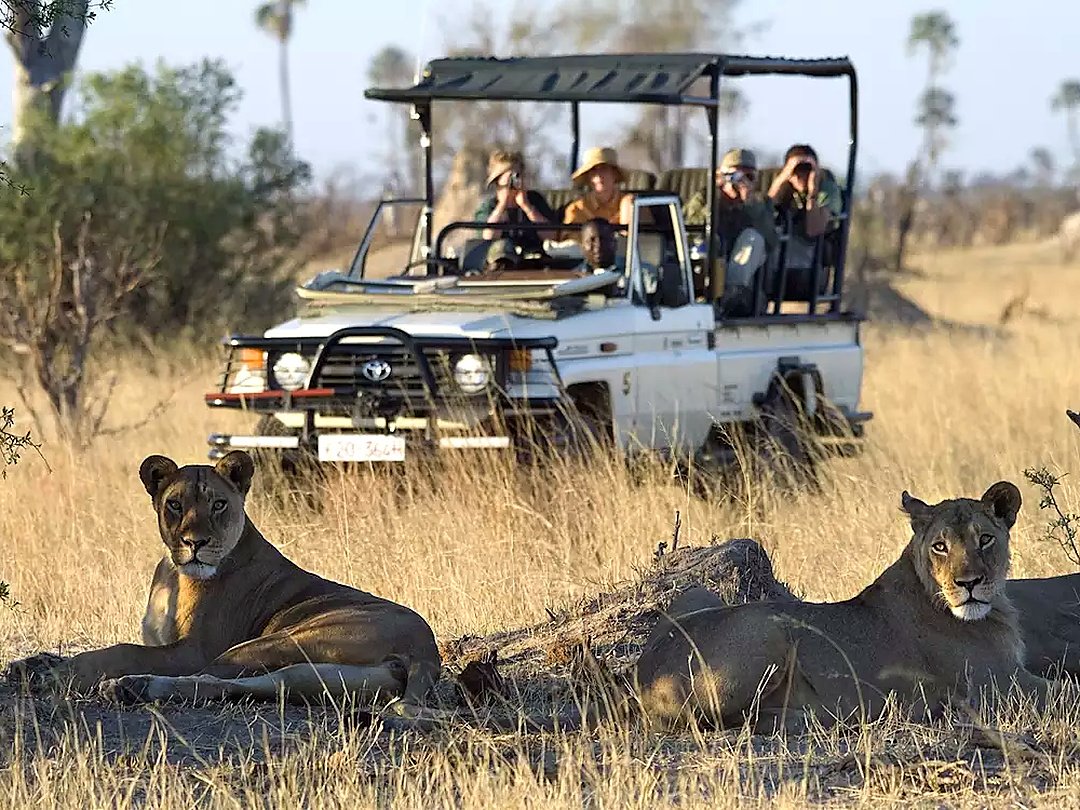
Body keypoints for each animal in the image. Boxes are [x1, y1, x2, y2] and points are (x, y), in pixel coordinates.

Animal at [6, 451, 441, 710]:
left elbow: (120, 650)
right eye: (175, 504)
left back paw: (130, 686)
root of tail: (427, 652)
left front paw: (54, 674)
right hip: (314, 675)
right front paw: (30, 664)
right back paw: (132, 689)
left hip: (275, 640)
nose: (195, 543)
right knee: (242, 685)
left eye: (218, 504)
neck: (173, 571)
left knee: (210, 674)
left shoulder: (190, 650)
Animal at [633, 481, 1050, 731]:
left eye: (985, 539)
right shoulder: (998, 685)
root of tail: (642, 671)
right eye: (940, 546)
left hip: (698, 594)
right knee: (719, 720)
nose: (969, 584)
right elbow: (1060, 688)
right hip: (770, 629)